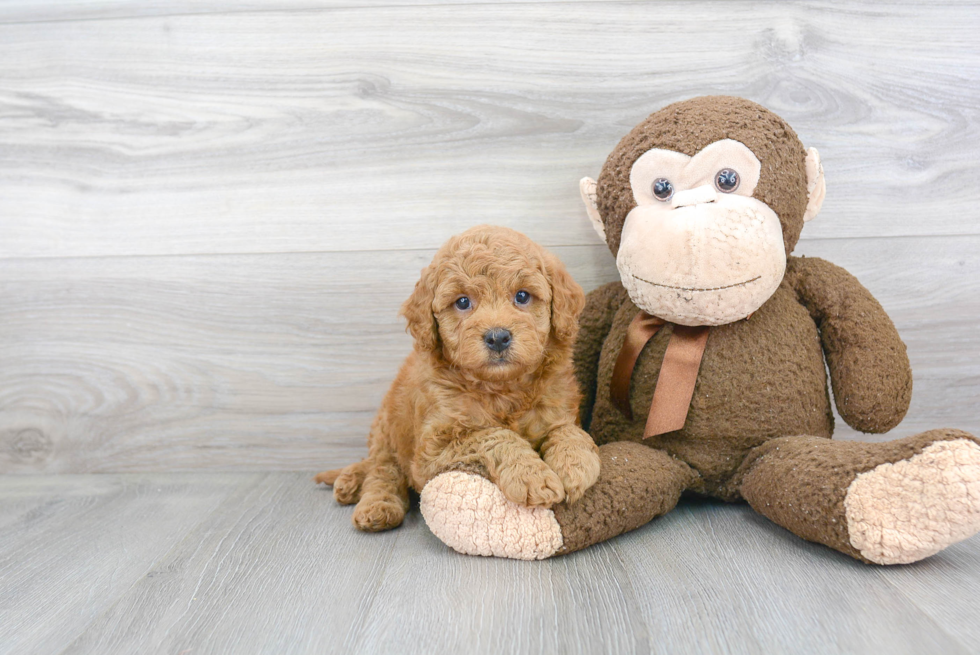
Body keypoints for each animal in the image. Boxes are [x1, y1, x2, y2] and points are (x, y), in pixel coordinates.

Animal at [318, 226, 600, 532]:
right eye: (463, 302)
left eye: (523, 296)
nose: (497, 337)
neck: (502, 389)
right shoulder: (431, 452)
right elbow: (493, 435)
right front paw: (531, 476)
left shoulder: (558, 409)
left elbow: (570, 431)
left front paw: (575, 466)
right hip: (387, 429)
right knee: (382, 470)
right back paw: (375, 505)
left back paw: (349, 481)